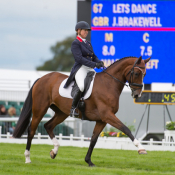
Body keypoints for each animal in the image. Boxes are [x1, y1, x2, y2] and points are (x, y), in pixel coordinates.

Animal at [13, 55, 150, 165]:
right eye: (136, 74)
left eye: (145, 74)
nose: (137, 95)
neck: (108, 84)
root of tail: (41, 79)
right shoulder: (108, 116)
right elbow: (125, 129)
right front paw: (141, 148)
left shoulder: (102, 120)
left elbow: (94, 140)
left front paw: (88, 161)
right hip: (40, 110)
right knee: (31, 130)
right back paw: (27, 158)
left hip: (62, 113)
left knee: (48, 126)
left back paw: (54, 151)